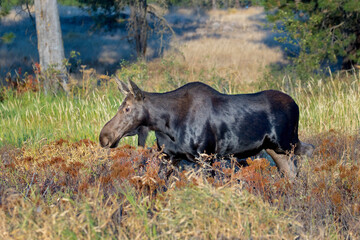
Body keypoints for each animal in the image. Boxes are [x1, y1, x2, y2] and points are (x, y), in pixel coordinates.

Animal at [100, 79, 314, 179]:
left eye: (127, 108)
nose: (104, 137)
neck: (166, 125)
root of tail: (296, 104)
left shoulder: (206, 157)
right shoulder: (169, 157)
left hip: (288, 142)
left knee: (309, 151)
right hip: (274, 149)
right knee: (289, 172)